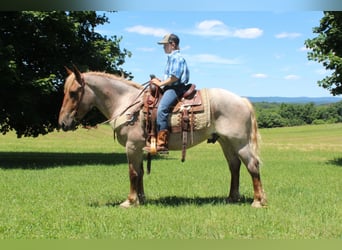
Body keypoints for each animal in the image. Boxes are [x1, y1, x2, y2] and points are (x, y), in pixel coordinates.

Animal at [58, 67, 268, 209]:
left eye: (74, 93)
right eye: (65, 92)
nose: (62, 122)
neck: (127, 103)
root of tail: (242, 100)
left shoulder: (131, 146)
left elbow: (132, 173)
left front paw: (129, 201)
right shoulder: (139, 148)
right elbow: (140, 172)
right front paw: (141, 199)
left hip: (240, 143)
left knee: (252, 165)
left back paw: (258, 201)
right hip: (226, 142)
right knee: (234, 166)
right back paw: (232, 197)